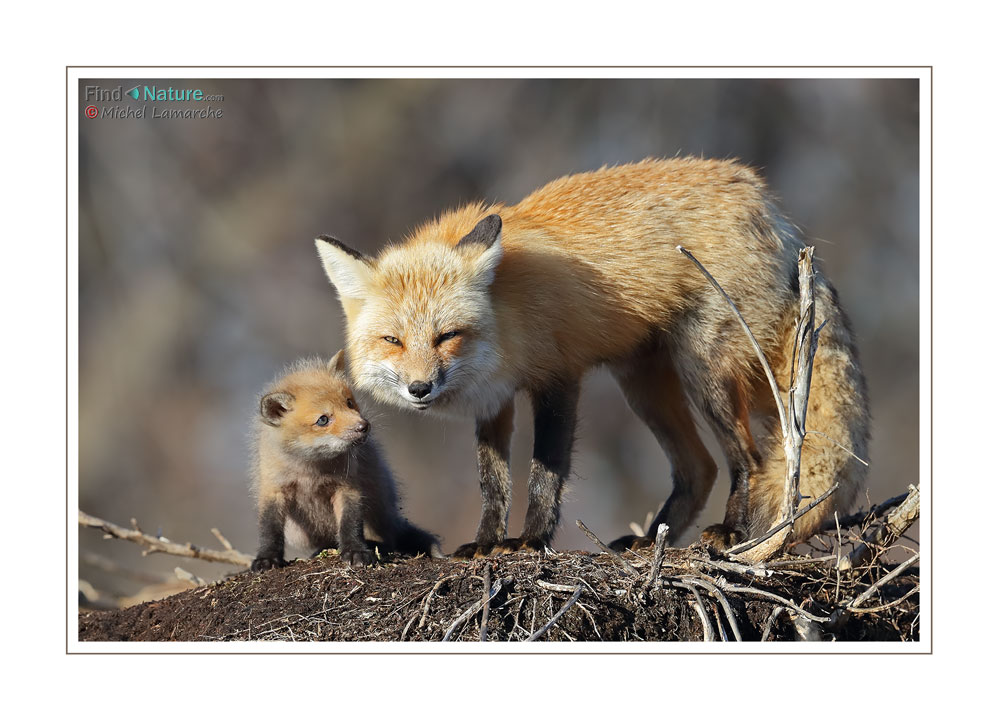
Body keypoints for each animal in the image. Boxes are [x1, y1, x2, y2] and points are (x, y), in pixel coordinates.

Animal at [312, 158, 868, 556]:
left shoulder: (559, 377)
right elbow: (493, 483)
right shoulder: (493, 402)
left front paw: (530, 540)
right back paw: (651, 541)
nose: (420, 389)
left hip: (704, 370)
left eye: (447, 335)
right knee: (699, 468)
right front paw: (487, 542)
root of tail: (765, 202)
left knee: (745, 459)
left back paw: (732, 531)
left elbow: (545, 471)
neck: (507, 317)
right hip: (643, 386)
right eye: (393, 341)